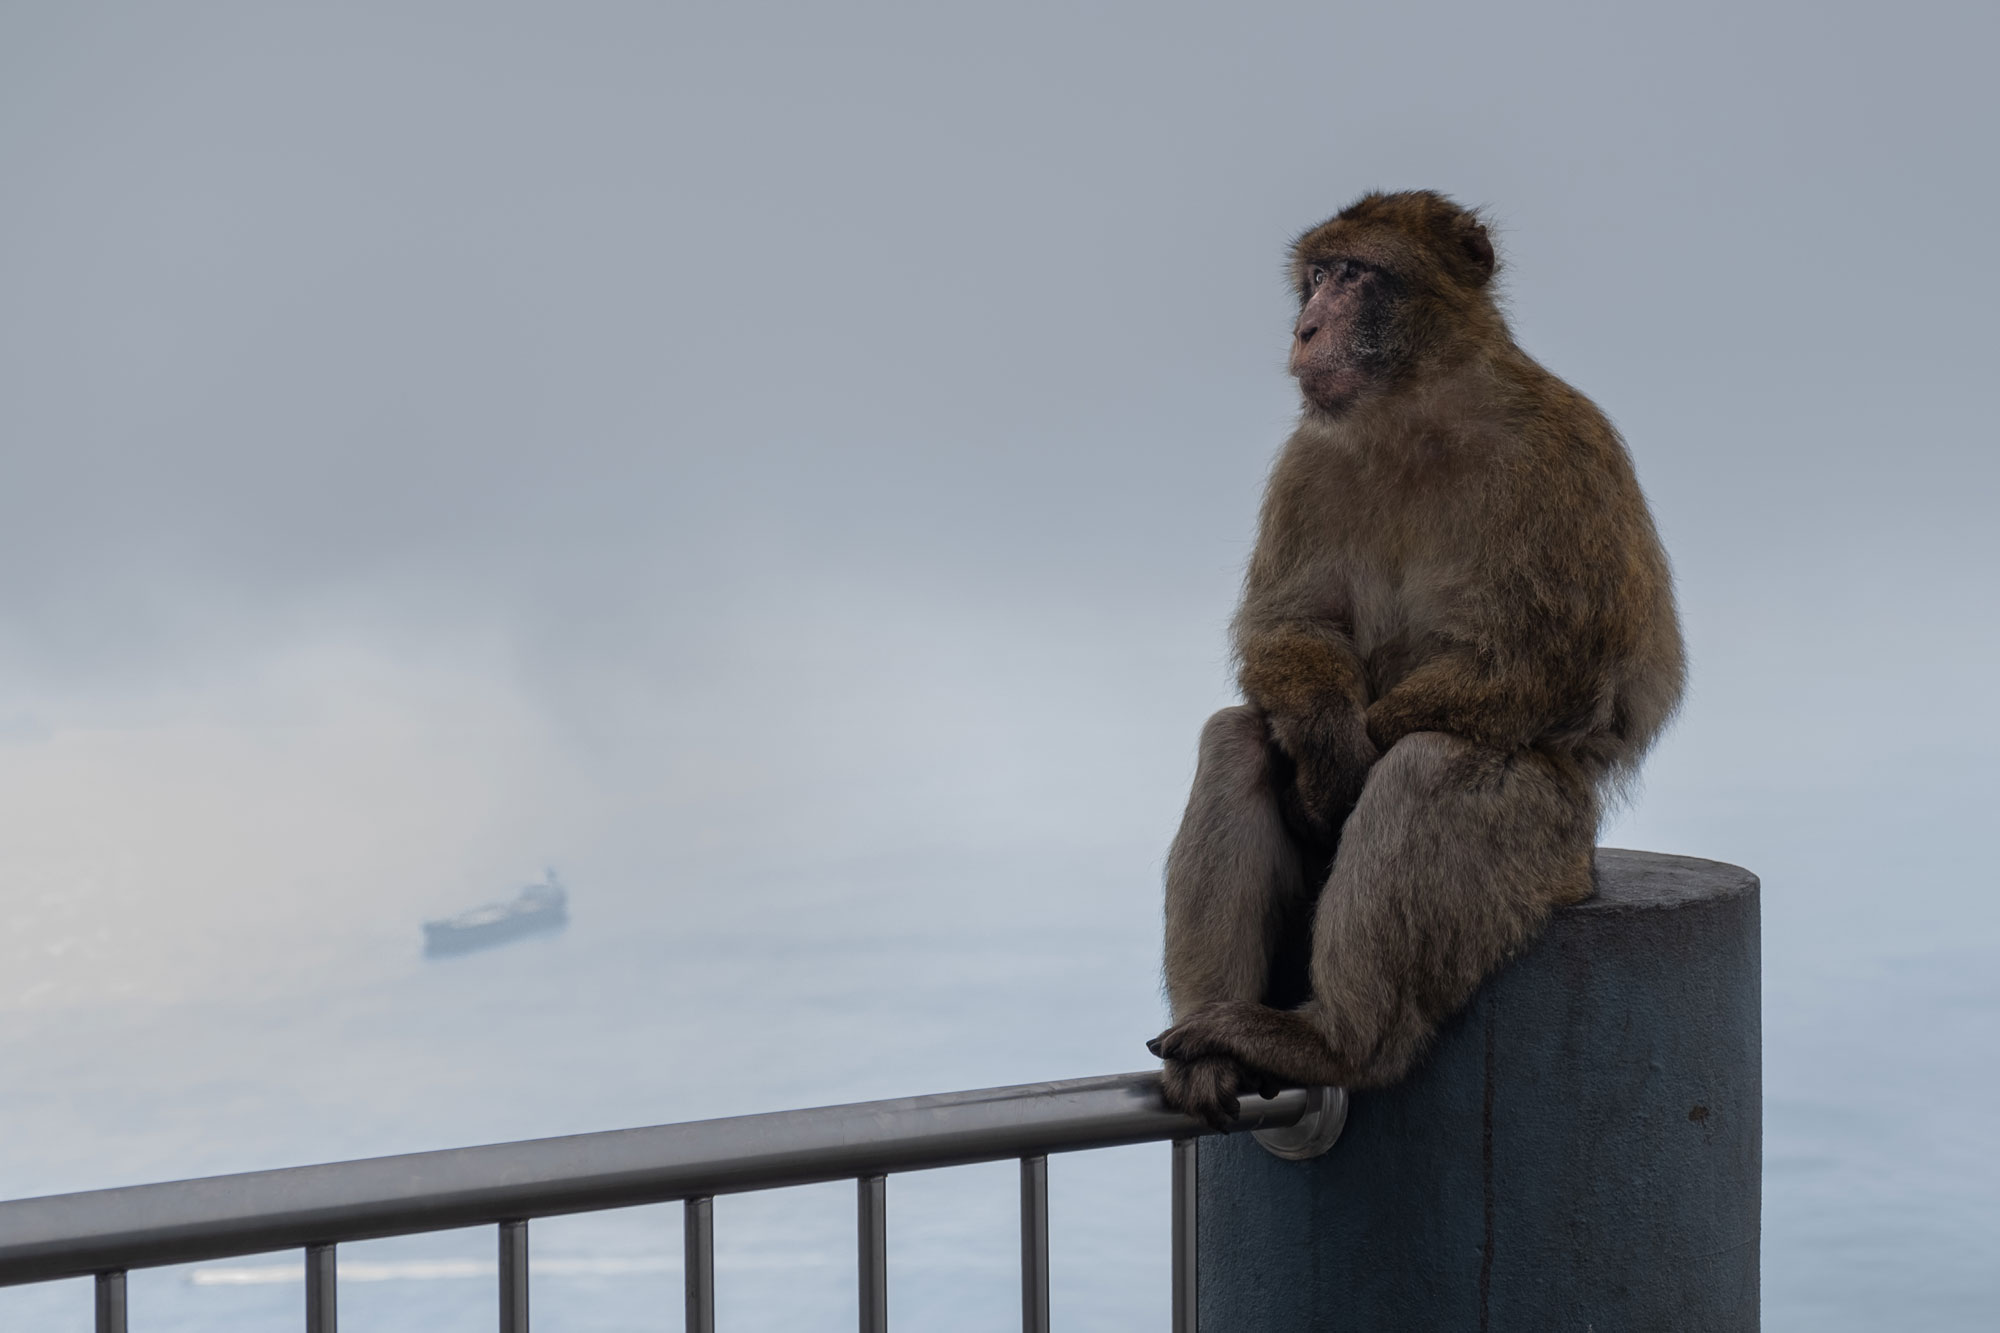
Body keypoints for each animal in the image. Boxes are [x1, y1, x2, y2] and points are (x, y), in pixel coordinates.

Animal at [1147, 190, 1685, 1129]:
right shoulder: (1307, 462)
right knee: (1238, 737)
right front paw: (1326, 744)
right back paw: (1216, 1043)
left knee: (1434, 764)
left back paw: (1337, 1040)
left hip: (1548, 850)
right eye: (1316, 276)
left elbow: (1558, 666)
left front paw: (1351, 763)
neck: (1418, 411)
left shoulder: (1561, 454)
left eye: (1355, 274)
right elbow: (1288, 624)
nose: (1307, 326)